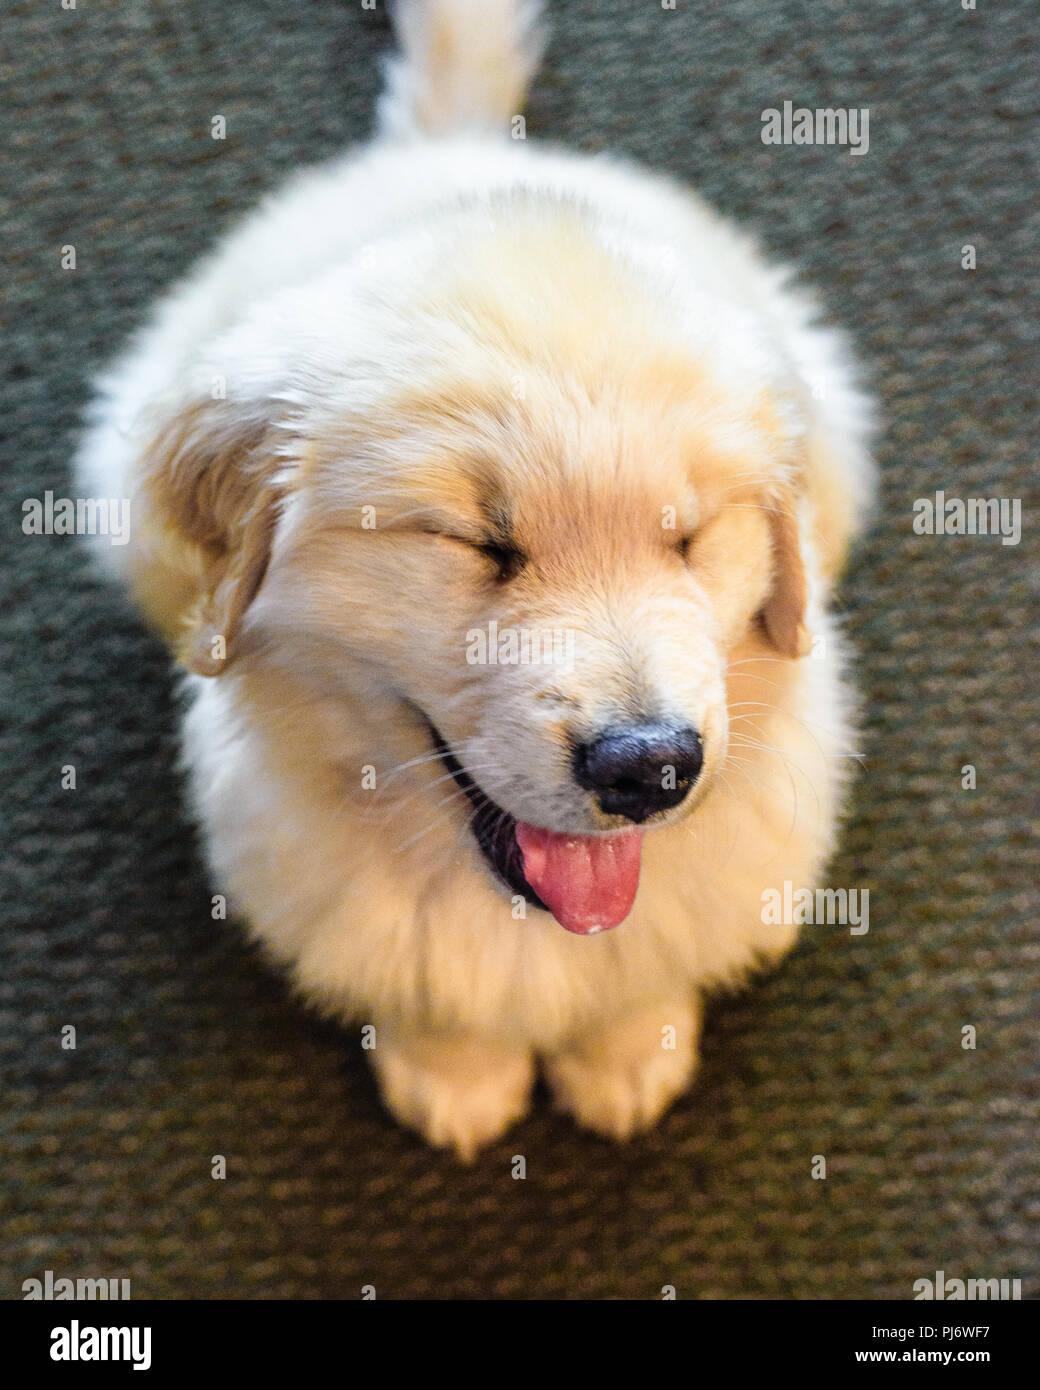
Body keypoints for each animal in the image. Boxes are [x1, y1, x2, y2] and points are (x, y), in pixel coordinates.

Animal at [77, 0, 873, 1156]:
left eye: (687, 540)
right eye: (475, 544)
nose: (651, 768)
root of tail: (452, 147)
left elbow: (641, 971)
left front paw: (628, 1052)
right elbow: (431, 999)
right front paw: (451, 1074)